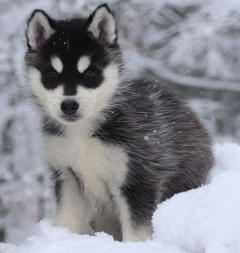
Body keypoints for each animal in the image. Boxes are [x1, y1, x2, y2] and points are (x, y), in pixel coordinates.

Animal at [23, 3, 212, 241]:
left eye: (90, 72)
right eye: (51, 73)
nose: (69, 105)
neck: (83, 133)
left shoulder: (138, 179)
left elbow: (137, 231)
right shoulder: (67, 177)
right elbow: (67, 220)